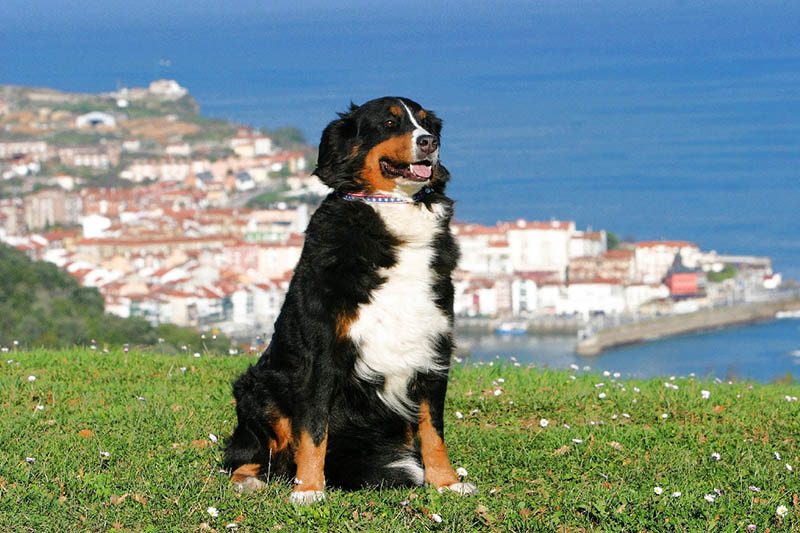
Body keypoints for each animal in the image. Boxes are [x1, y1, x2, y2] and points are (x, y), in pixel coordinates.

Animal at [222, 96, 478, 502]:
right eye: (389, 123)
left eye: (427, 124)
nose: (429, 142)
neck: (392, 211)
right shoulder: (321, 354)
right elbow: (313, 432)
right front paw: (309, 490)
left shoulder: (433, 351)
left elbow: (432, 430)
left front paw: (447, 483)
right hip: (261, 388)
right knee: (250, 453)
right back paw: (250, 480)